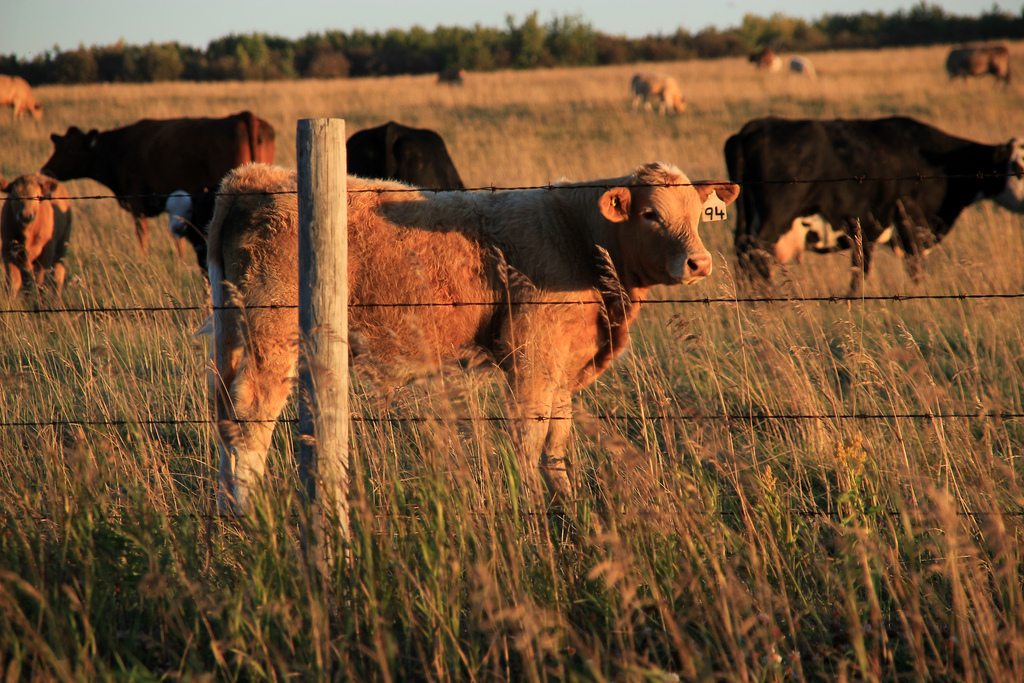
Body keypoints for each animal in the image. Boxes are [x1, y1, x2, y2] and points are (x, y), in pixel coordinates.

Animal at [40, 111, 276, 253]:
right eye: (57, 146)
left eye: (69, 149)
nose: (45, 169)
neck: (118, 148)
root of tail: (244, 116)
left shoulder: (137, 203)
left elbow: (142, 235)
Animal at [207, 161, 737, 511]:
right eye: (651, 214)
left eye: (697, 213)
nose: (699, 262)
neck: (578, 237)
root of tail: (257, 178)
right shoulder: (532, 361)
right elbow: (529, 439)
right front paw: (529, 508)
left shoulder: (562, 367)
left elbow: (556, 444)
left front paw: (565, 505)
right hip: (271, 335)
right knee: (250, 418)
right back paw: (245, 515)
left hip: (233, 331)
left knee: (226, 414)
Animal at [724, 114, 1024, 290]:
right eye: (1019, 167)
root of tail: (753, 127)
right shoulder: (911, 227)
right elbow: (911, 273)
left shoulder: (869, 232)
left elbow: (860, 273)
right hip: (775, 219)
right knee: (756, 257)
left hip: (747, 219)